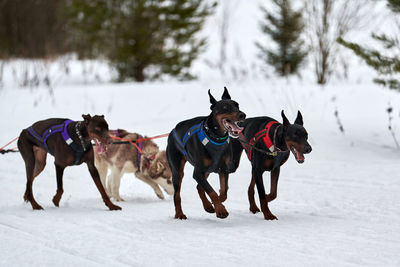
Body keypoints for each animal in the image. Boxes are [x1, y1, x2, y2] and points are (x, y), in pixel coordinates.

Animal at [166, 88, 247, 220]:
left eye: (237, 105)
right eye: (225, 107)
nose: (242, 115)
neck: (216, 136)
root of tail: (173, 130)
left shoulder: (223, 169)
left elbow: (223, 191)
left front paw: (216, 204)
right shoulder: (198, 172)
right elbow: (212, 191)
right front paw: (221, 210)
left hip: (207, 170)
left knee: (199, 187)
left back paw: (208, 206)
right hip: (177, 170)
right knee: (177, 195)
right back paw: (179, 214)